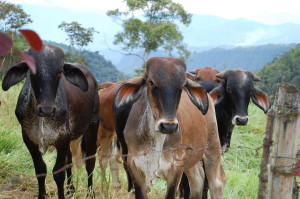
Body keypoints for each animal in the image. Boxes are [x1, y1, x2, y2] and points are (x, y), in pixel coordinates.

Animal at [1, 44, 100, 198]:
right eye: (32, 71)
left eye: (59, 72)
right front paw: (42, 195)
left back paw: (90, 193)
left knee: (90, 162)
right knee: (69, 161)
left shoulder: (62, 138)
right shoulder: (29, 139)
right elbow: (41, 170)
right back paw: (70, 189)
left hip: (93, 125)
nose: (47, 109)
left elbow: (58, 173)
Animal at [112, 56, 225, 198]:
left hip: (212, 147)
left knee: (216, 183)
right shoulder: (134, 166)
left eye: (182, 86)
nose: (168, 126)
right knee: (198, 181)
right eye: (151, 82)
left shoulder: (176, 167)